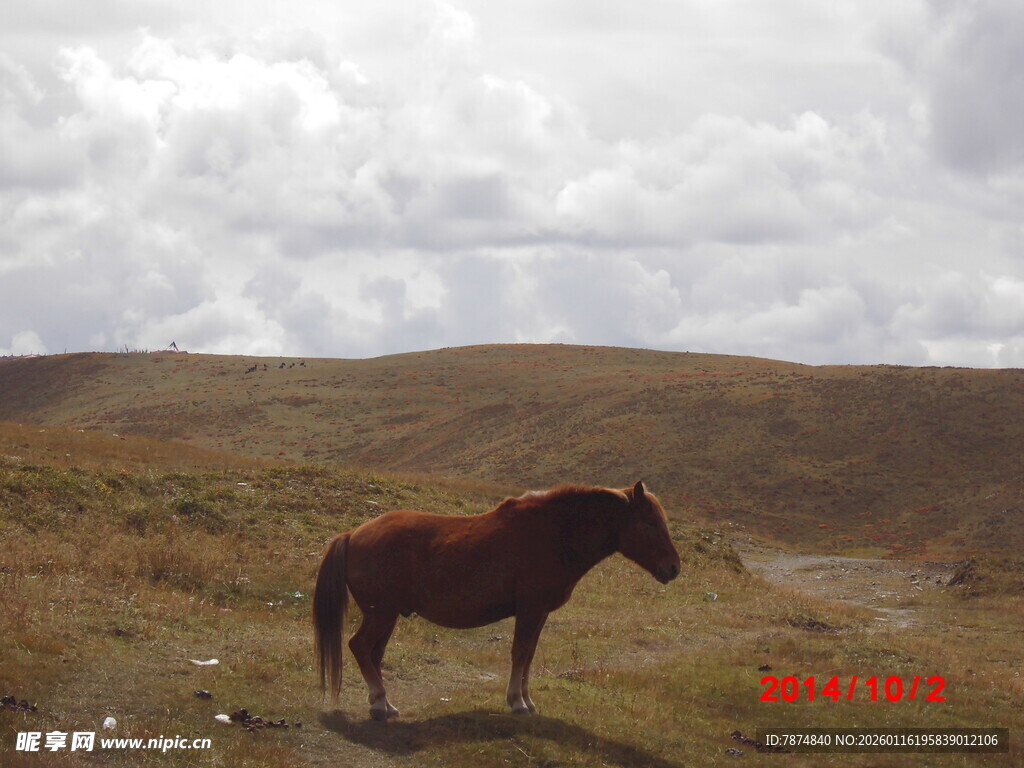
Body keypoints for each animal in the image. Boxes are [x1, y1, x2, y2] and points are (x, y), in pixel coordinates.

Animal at [313, 480, 681, 720]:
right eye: (650, 522)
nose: (673, 568)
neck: (554, 534)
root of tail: (353, 534)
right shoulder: (530, 611)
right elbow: (519, 653)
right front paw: (517, 702)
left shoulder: (539, 613)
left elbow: (529, 656)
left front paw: (527, 700)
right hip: (381, 615)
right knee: (360, 648)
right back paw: (378, 703)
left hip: (386, 617)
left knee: (373, 655)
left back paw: (384, 703)